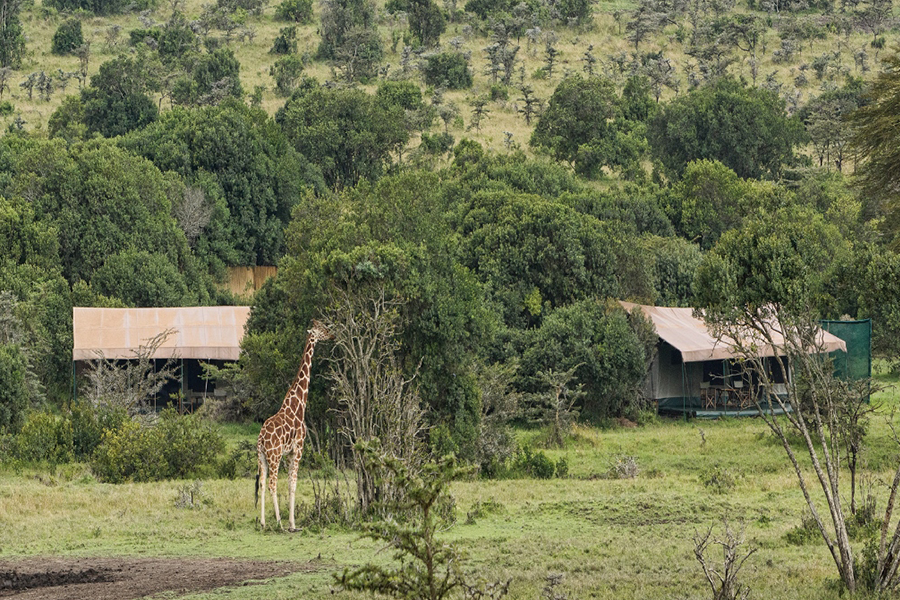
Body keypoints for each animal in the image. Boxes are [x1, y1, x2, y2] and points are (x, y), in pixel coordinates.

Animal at [256, 318, 334, 528]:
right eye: (322, 329)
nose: (332, 335)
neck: (298, 405)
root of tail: (261, 439)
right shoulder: (298, 449)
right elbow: (293, 484)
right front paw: (292, 523)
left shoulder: (290, 452)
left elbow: (290, 483)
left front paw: (291, 521)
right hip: (274, 456)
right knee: (272, 484)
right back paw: (279, 523)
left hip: (261, 457)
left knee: (262, 483)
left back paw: (263, 522)